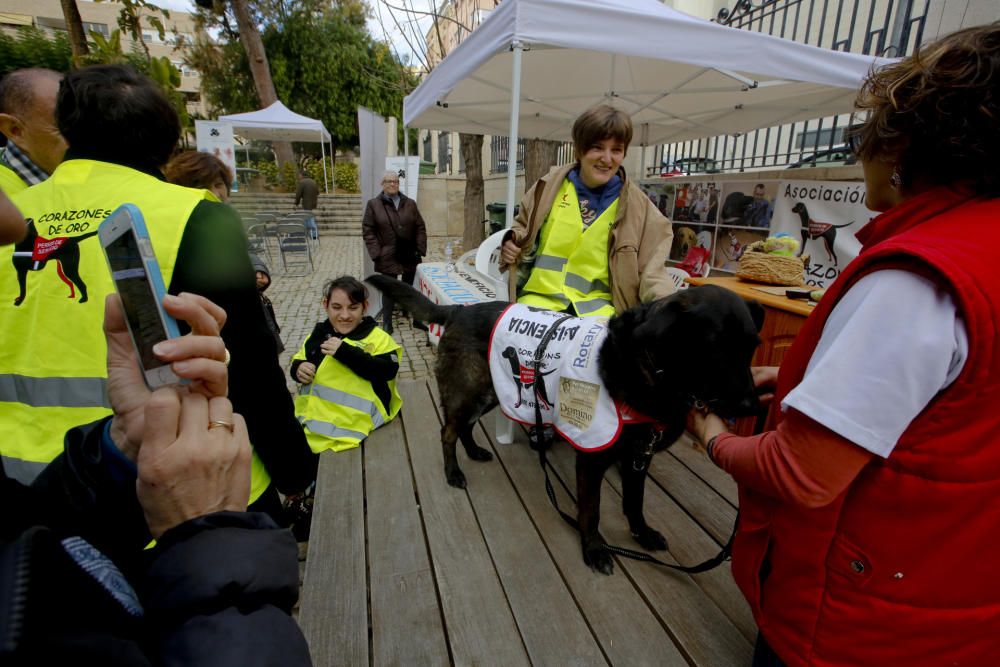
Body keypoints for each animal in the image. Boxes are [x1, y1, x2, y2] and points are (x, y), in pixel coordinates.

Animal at [368, 274, 764, 576]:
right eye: (715, 345)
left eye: (751, 347)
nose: (753, 406)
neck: (646, 371)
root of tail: (459, 309)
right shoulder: (592, 457)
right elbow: (591, 510)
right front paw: (594, 549)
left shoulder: (638, 457)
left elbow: (635, 502)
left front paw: (642, 534)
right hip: (470, 390)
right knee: (448, 431)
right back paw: (453, 472)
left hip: (493, 390)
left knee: (466, 426)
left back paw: (475, 451)